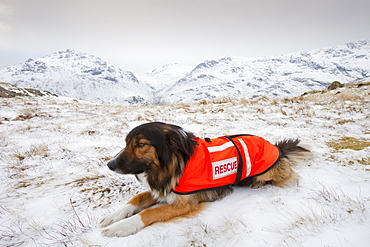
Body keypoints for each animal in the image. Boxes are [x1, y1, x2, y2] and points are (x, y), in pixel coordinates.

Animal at [99, 121, 310, 237]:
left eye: (141, 144)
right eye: (126, 143)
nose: (110, 164)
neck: (173, 164)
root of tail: (277, 148)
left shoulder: (185, 203)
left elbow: (149, 213)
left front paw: (121, 227)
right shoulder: (164, 187)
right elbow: (137, 198)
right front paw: (113, 217)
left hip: (268, 172)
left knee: (290, 176)